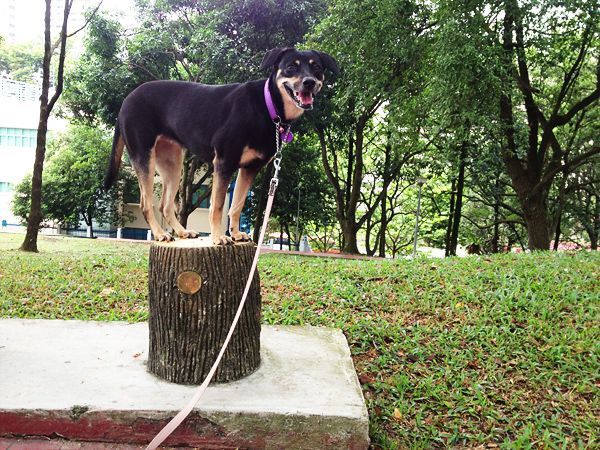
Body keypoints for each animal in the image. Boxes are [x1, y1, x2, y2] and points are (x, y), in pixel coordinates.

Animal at [103, 47, 338, 244]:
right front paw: (218, 237)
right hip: (144, 157)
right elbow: (216, 206)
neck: (268, 105)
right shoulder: (224, 162)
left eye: (316, 68)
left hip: (172, 163)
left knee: (165, 205)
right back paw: (161, 234)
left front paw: (235, 233)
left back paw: (181, 232)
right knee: (146, 204)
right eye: (291, 67)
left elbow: (237, 205)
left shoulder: (250, 168)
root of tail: (125, 103)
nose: (309, 82)